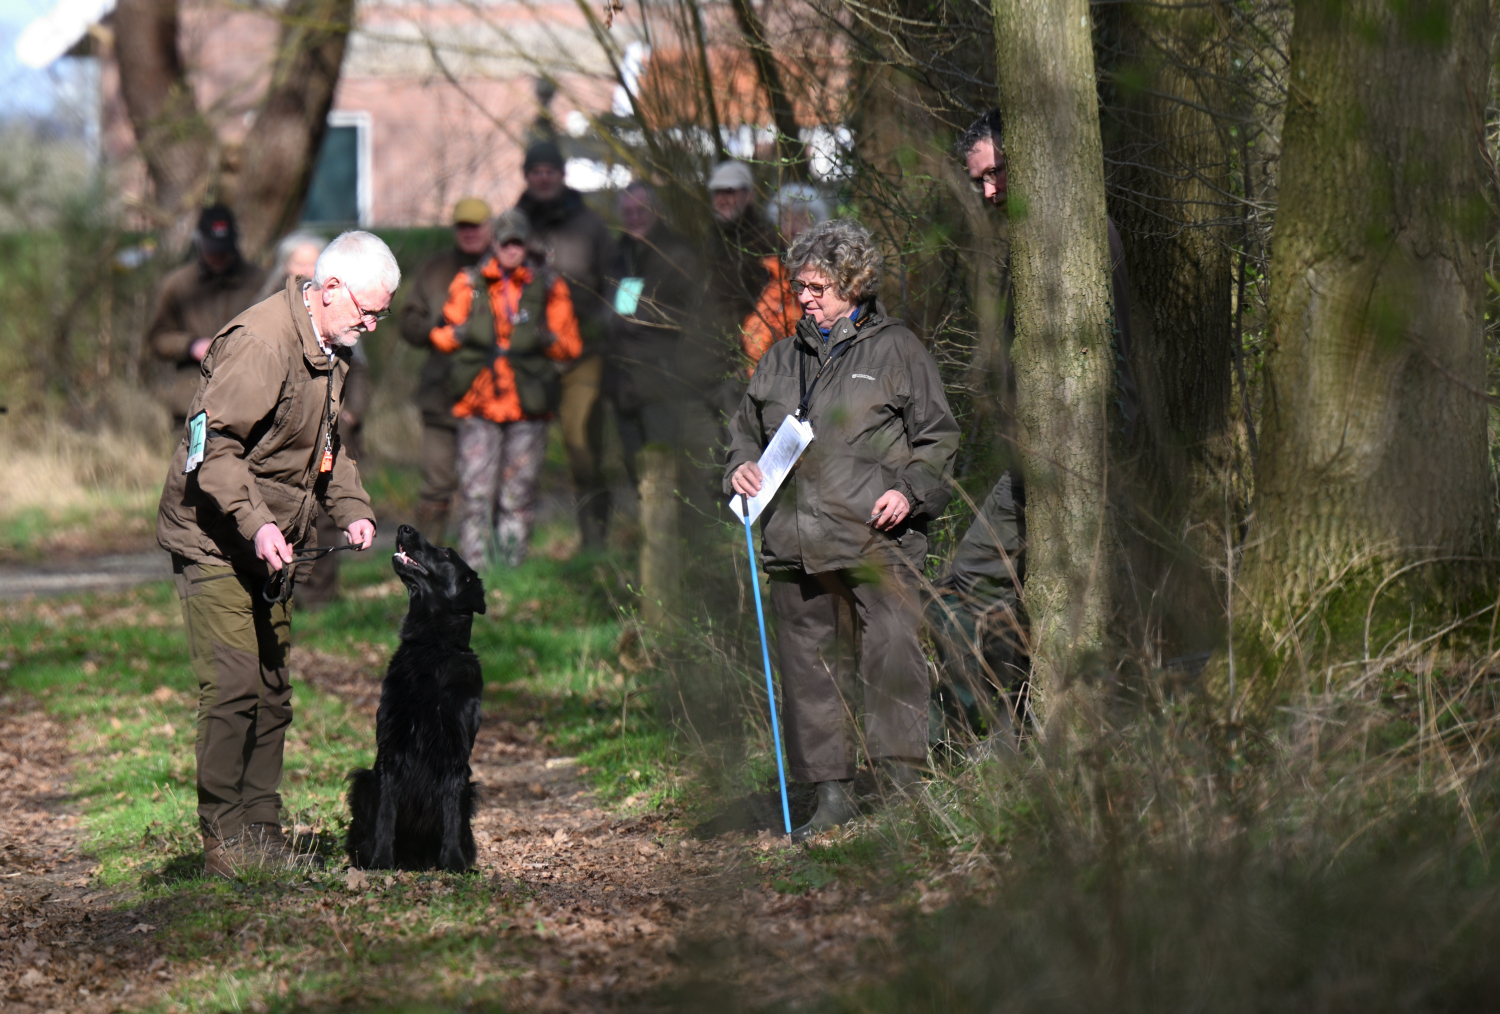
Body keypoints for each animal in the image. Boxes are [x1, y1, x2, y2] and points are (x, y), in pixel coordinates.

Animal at [346, 525, 487, 871]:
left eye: (447, 553)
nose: (404, 528)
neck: (432, 649)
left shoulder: (455, 753)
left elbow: (451, 816)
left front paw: (454, 863)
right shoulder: (391, 748)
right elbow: (385, 816)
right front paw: (381, 861)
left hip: (472, 788)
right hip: (363, 780)